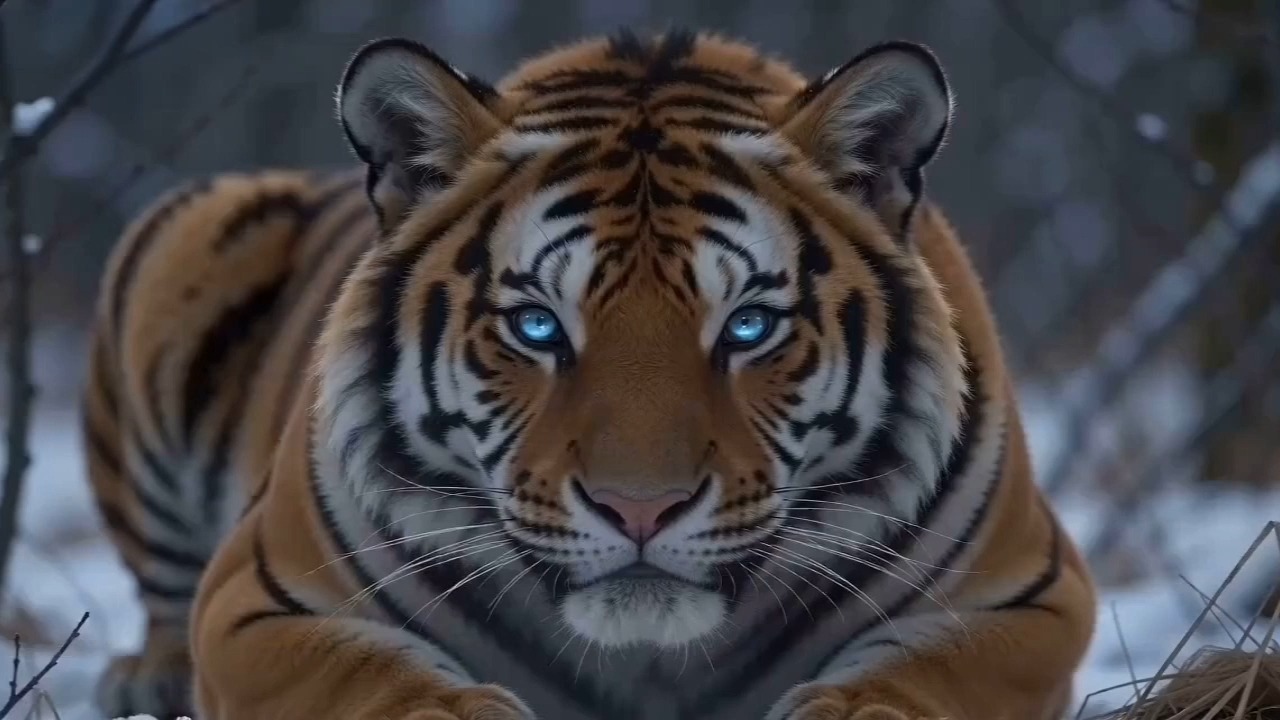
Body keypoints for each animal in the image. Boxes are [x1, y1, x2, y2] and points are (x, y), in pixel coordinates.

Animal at [82, 27, 1096, 720]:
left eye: (749, 326)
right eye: (537, 325)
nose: (639, 510)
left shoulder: (1026, 596)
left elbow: (927, 674)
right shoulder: (258, 600)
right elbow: (368, 677)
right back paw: (144, 681)